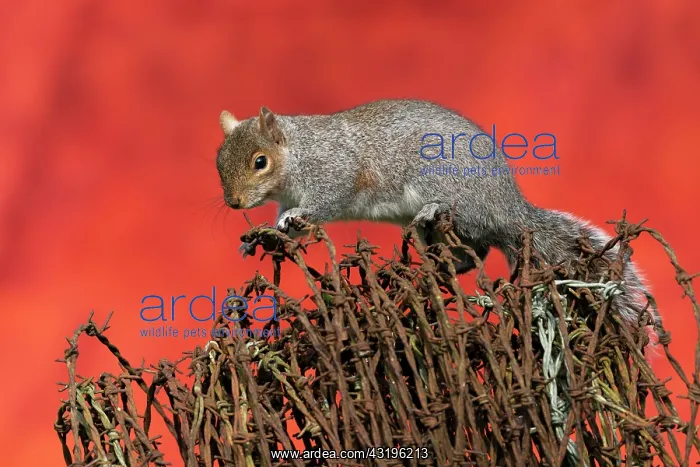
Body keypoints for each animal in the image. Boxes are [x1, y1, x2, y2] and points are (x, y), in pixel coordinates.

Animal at [215, 99, 660, 331]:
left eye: (260, 162)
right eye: (219, 162)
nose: (234, 203)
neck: (299, 154)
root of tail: (510, 209)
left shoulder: (335, 171)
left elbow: (325, 202)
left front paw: (295, 216)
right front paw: (266, 235)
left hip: (457, 192)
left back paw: (436, 210)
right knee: (473, 253)